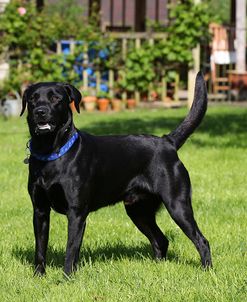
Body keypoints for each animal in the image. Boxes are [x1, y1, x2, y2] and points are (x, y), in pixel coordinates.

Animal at [20, 72, 211, 274]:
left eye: (56, 98)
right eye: (32, 99)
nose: (40, 111)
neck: (51, 154)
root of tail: (168, 142)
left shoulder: (76, 213)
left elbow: (71, 250)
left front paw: (67, 277)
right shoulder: (40, 210)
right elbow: (40, 247)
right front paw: (39, 275)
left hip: (177, 205)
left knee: (201, 240)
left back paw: (206, 270)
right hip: (138, 210)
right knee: (161, 240)